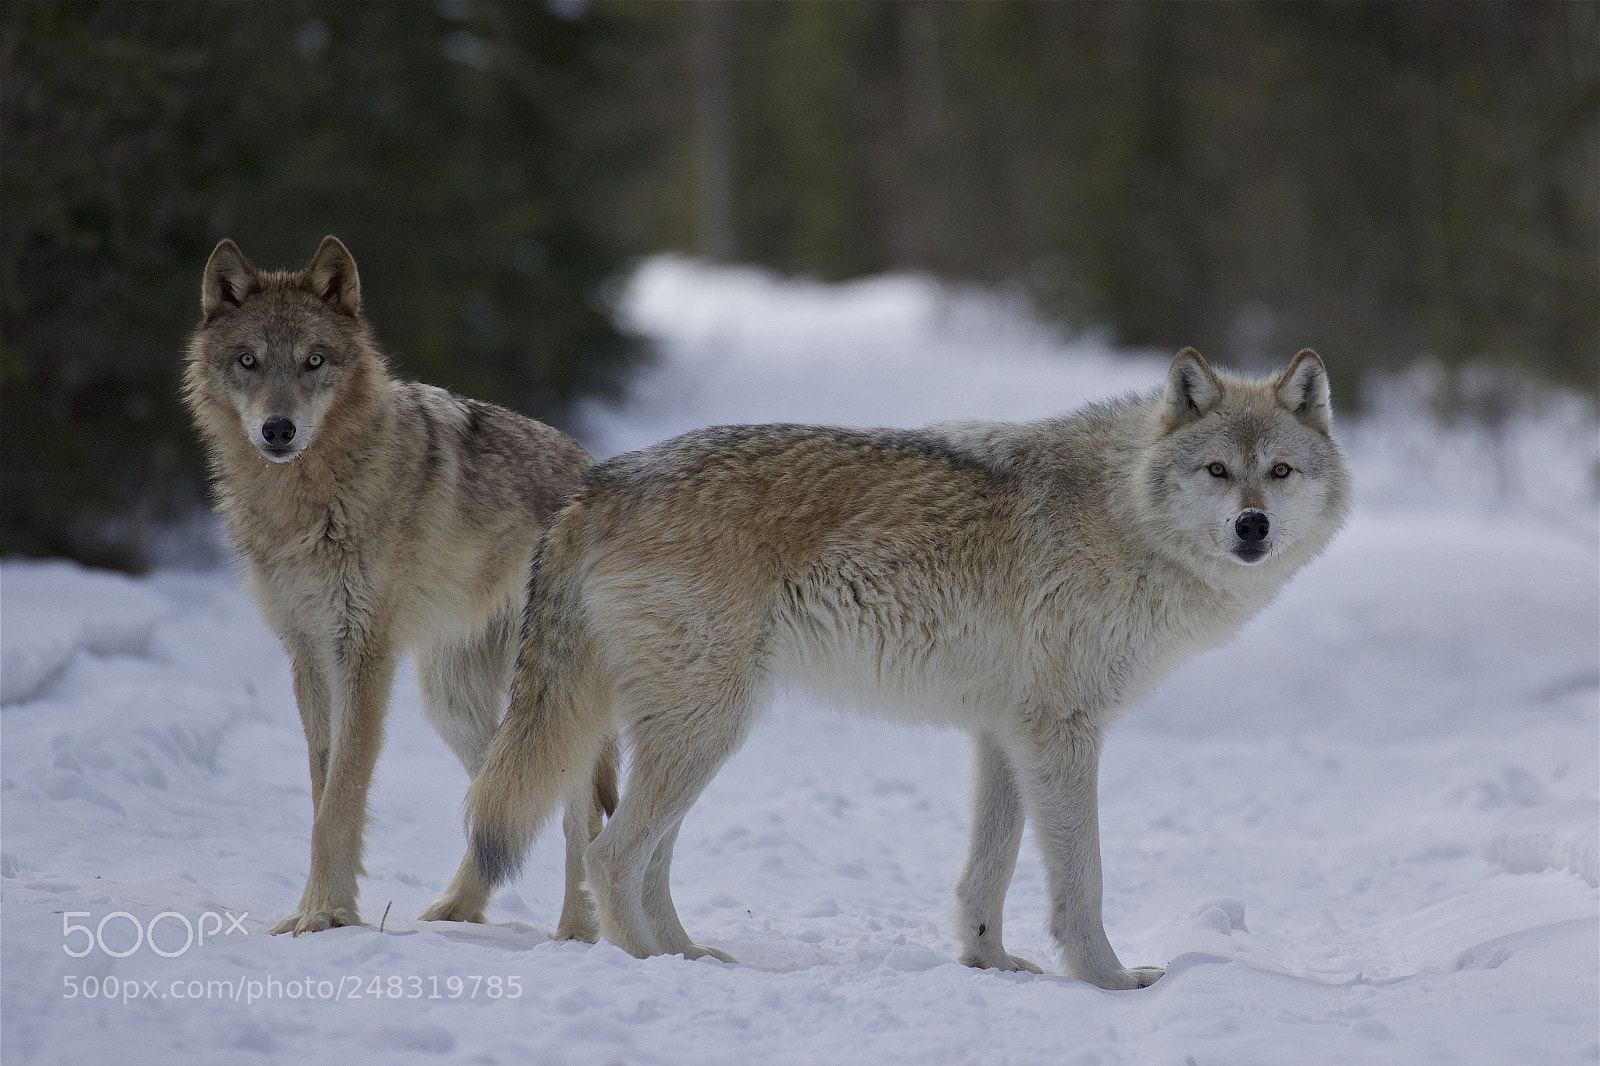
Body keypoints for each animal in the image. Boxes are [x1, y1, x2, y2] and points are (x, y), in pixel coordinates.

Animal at [183, 236, 617, 937]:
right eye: (249, 361)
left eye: (314, 361)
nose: (278, 430)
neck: (304, 501)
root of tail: (594, 471)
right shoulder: (308, 654)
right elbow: (321, 792)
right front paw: (317, 910)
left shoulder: (366, 653)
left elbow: (339, 803)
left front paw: (323, 913)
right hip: (452, 702)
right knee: (503, 798)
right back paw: (458, 910)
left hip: (540, 693)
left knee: (579, 805)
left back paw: (578, 933)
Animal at [465, 347, 1351, 988]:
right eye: (1217, 471)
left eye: (1280, 472)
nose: (1251, 527)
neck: (1122, 513)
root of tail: (600, 481)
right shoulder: (1063, 733)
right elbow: (1082, 881)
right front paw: (1109, 979)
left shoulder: (1005, 736)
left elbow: (987, 872)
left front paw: (991, 964)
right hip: (703, 732)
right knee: (612, 856)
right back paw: (651, 966)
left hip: (701, 734)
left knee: (647, 861)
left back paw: (693, 955)